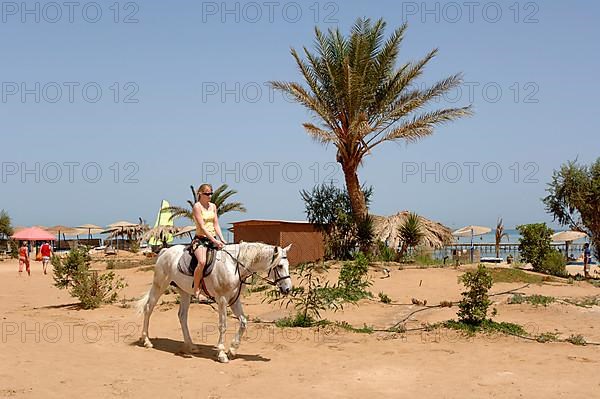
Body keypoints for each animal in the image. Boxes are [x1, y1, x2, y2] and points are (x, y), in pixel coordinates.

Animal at [134, 242, 292, 364]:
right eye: (279, 266)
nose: (288, 289)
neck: (235, 266)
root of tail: (165, 251)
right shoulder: (222, 299)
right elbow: (223, 325)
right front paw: (222, 354)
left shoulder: (234, 300)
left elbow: (243, 322)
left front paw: (232, 350)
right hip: (159, 285)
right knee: (148, 308)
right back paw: (147, 341)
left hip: (184, 292)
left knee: (182, 316)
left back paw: (191, 346)